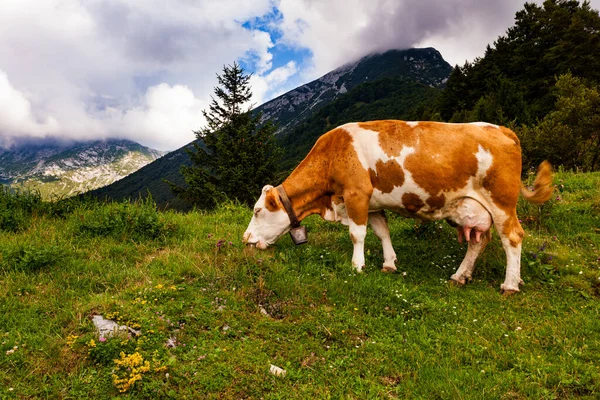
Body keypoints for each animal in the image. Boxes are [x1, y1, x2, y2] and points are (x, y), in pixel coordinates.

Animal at [241, 119, 552, 294]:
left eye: (257, 211)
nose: (245, 238)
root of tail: (504, 130)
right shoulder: (372, 202)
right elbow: (382, 231)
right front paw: (389, 263)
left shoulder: (356, 194)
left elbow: (357, 234)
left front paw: (357, 266)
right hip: (473, 207)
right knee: (479, 241)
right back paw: (459, 276)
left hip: (501, 202)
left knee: (512, 237)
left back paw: (510, 285)